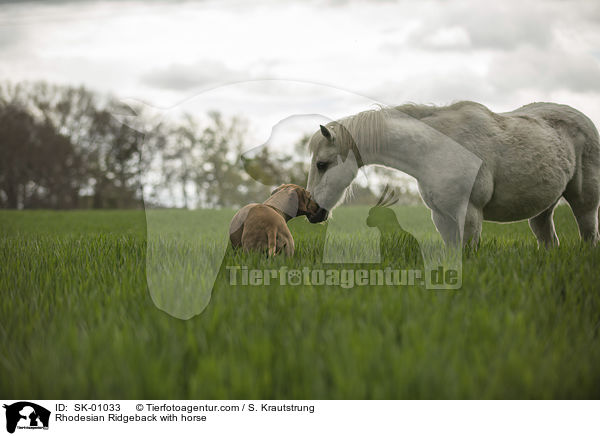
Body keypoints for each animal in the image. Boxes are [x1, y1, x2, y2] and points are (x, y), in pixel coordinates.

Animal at [310, 100, 600, 247]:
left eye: (322, 164)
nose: (314, 212)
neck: (436, 147)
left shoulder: (468, 214)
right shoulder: (441, 217)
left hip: (585, 202)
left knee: (589, 236)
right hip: (543, 209)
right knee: (548, 240)